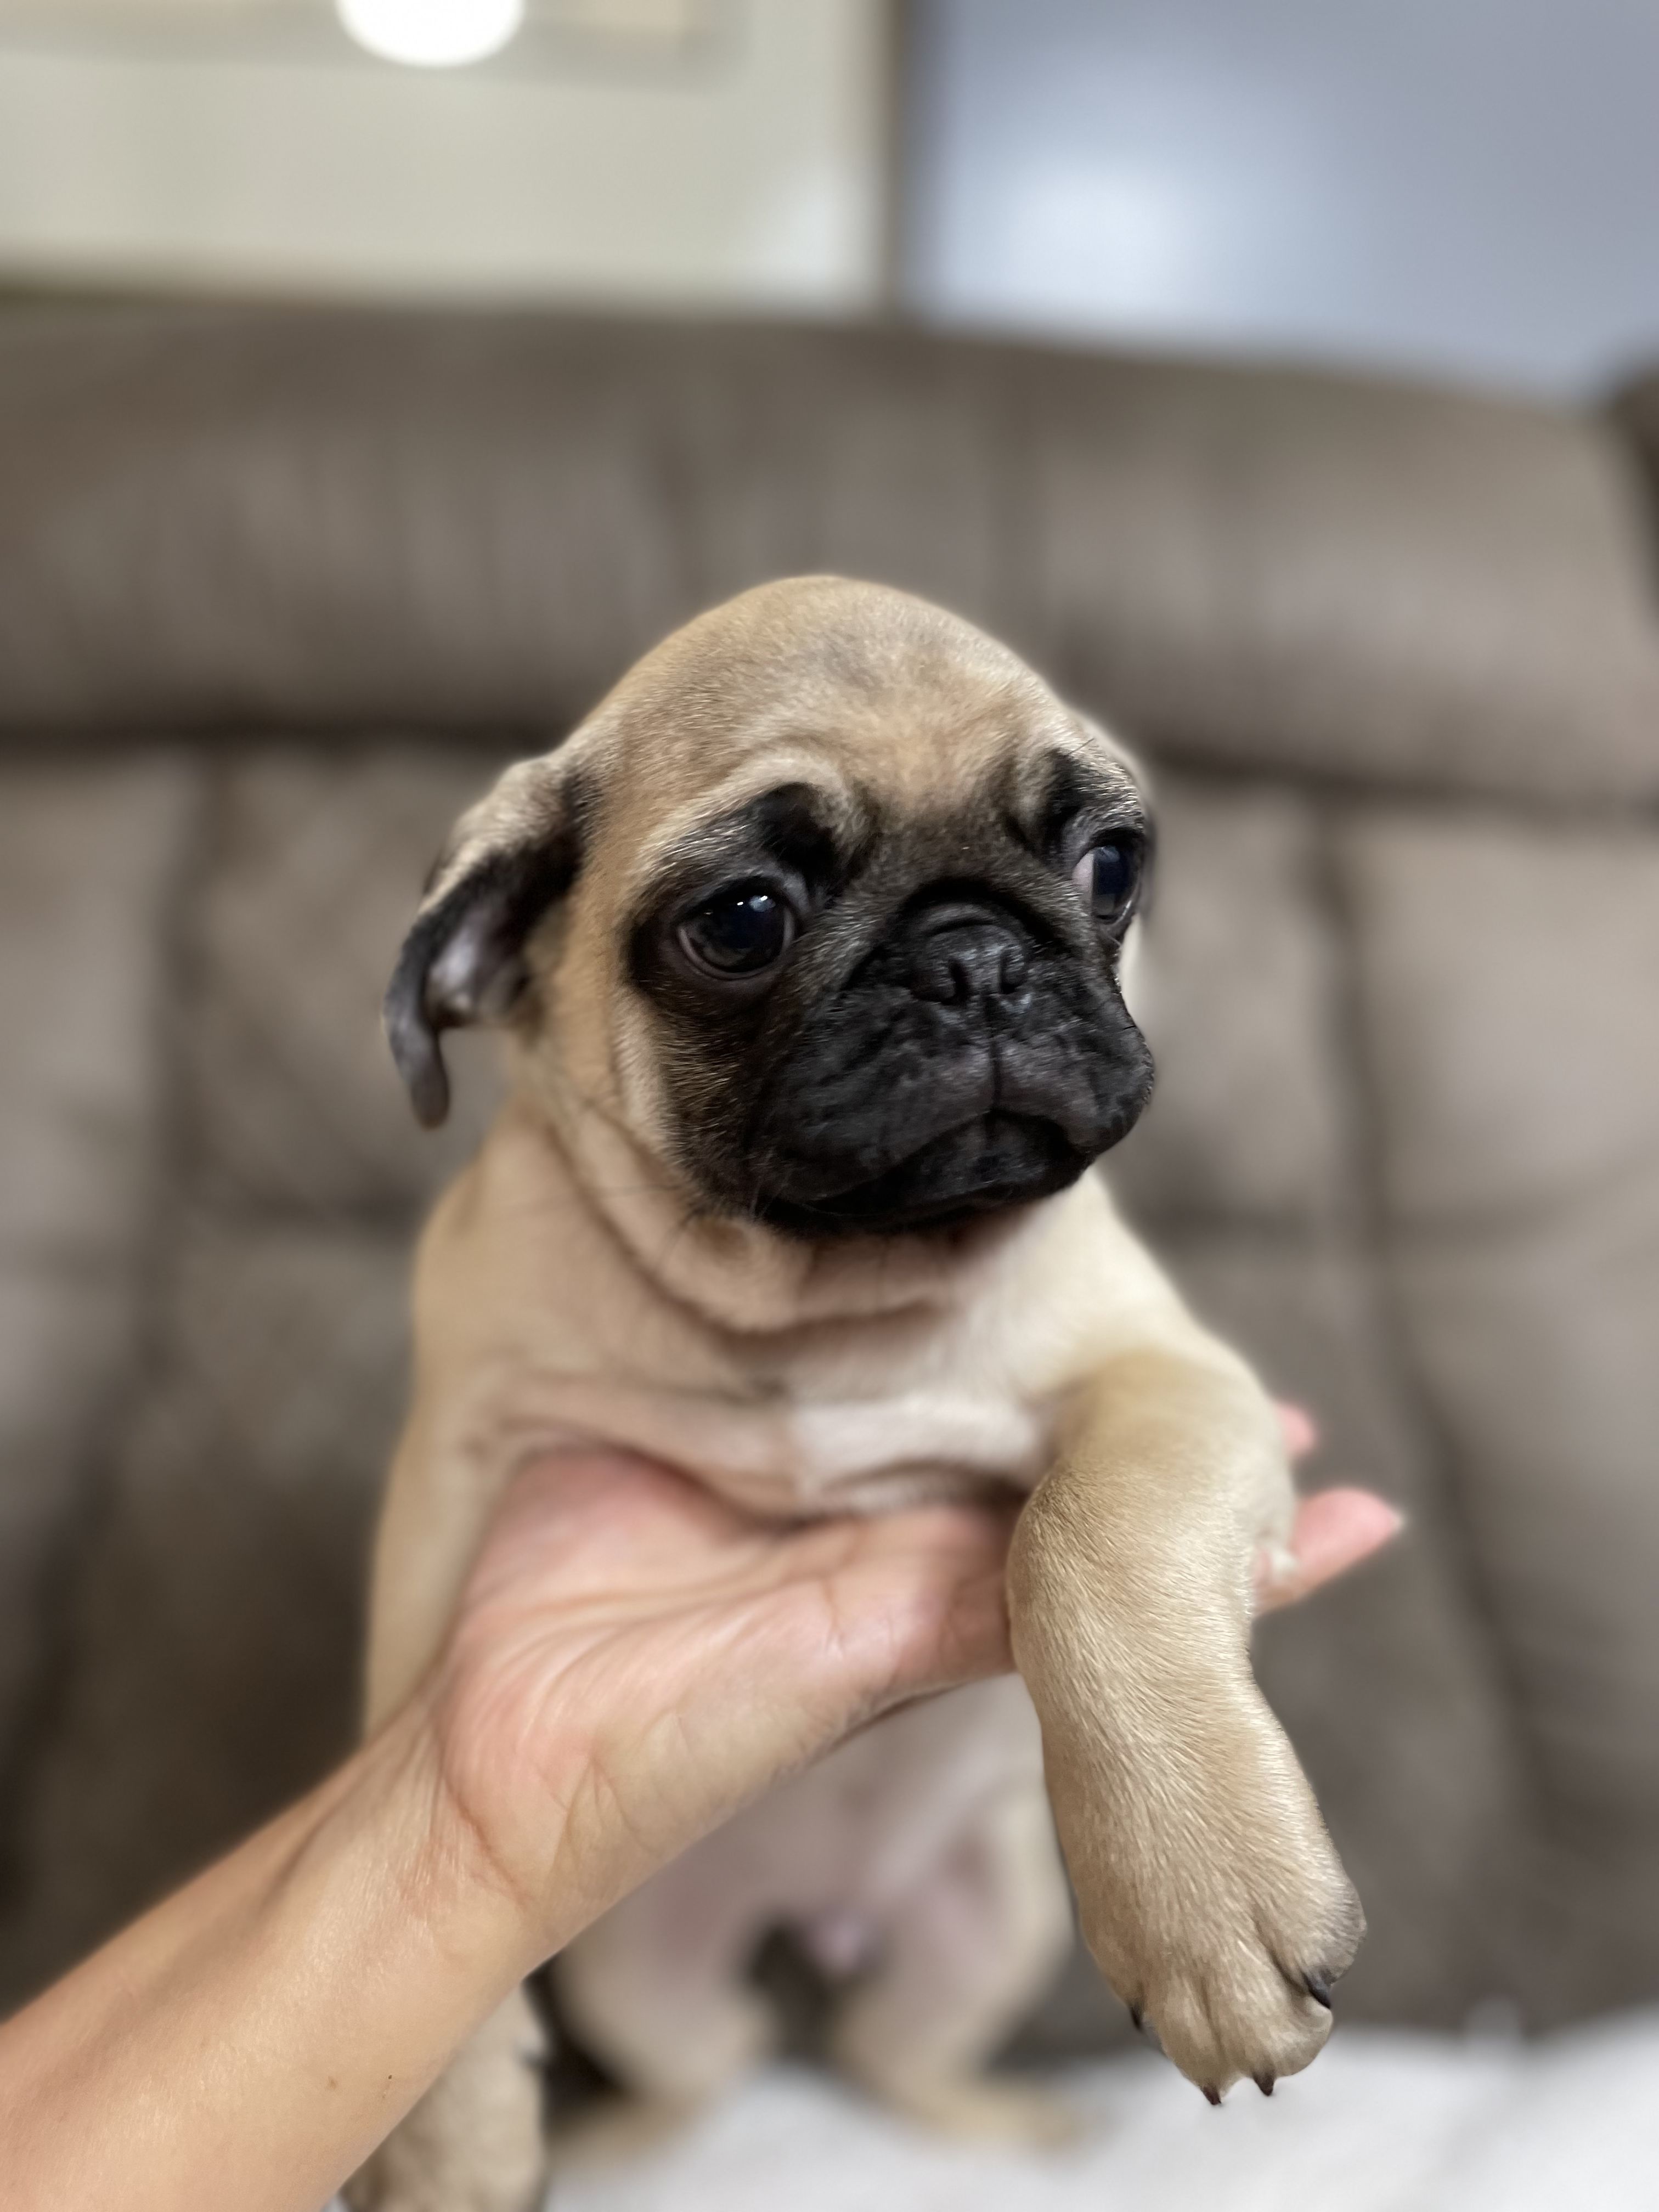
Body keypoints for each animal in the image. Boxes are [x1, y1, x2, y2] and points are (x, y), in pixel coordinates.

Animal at [345, 577, 1363, 2212]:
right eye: (742, 921)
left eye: (1110, 864)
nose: (978, 956)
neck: (822, 1294)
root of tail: (820, 1917)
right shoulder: (456, 1477)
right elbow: (408, 1756)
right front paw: (446, 2138)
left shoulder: (1168, 1384)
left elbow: (1082, 1541)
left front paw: (1205, 1903)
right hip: (640, 1974)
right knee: (726, 2064)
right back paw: (619, 2149)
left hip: (993, 1922)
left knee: (894, 2058)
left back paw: (1015, 2135)